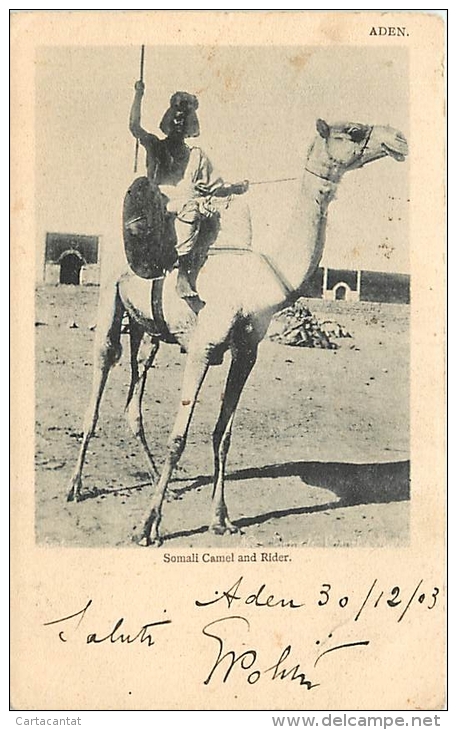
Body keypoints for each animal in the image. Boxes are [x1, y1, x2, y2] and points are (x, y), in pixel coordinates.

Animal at [67, 118, 406, 544]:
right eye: (355, 130)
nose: (399, 140)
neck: (257, 282)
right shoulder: (203, 346)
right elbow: (178, 438)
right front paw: (145, 527)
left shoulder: (246, 351)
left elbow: (223, 435)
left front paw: (221, 520)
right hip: (110, 296)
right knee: (102, 368)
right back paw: (76, 486)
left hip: (148, 330)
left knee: (135, 392)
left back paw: (158, 481)